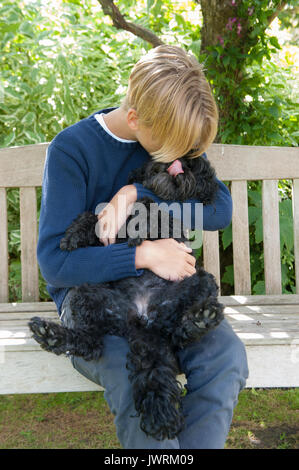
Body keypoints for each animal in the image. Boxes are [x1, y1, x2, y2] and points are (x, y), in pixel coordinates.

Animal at [28, 154, 225, 440]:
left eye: (193, 167)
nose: (179, 162)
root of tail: (144, 323)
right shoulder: (106, 235)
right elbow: (95, 216)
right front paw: (73, 235)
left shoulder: (172, 224)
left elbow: (152, 209)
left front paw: (140, 225)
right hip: (84, 294)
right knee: (89, 342)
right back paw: (51, 335)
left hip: (200, 280)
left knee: (178, 333)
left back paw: (199, 320)